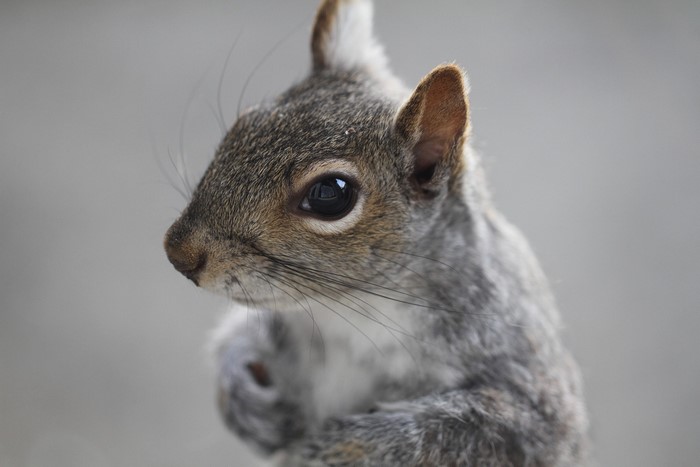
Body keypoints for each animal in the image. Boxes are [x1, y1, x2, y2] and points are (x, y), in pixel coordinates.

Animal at [164, 0, 588, 465]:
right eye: (243, 125)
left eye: (330, 193)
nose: (177, 253)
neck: (346, 313)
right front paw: (242, 392)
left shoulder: (525, 380)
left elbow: (478, 431)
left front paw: (340, 445)